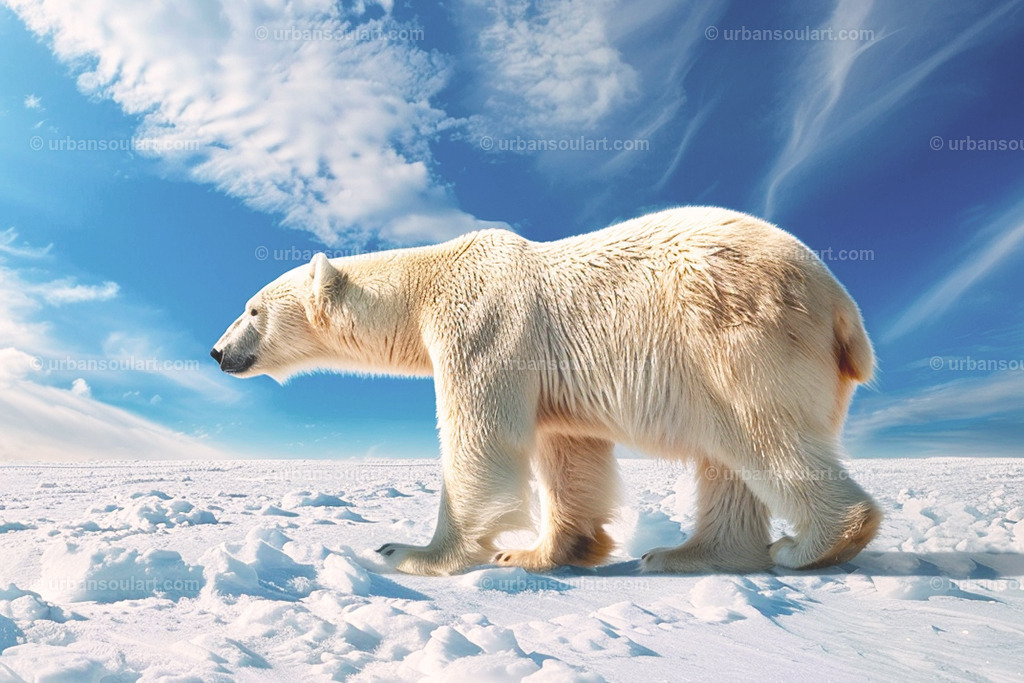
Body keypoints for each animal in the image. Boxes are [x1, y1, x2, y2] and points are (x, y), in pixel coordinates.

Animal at [211, 206, 881, 576]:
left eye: (250, 310)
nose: (218, 352)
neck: (426, 286)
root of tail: (843, 307)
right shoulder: (555, 382)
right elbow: (568, 453)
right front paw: (540, 553)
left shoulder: (484, 326)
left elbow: (478, 441)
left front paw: (411, 552)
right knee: (727, 462)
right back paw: (687, 553)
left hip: (732, 337)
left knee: (761, 434)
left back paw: (815, 544)